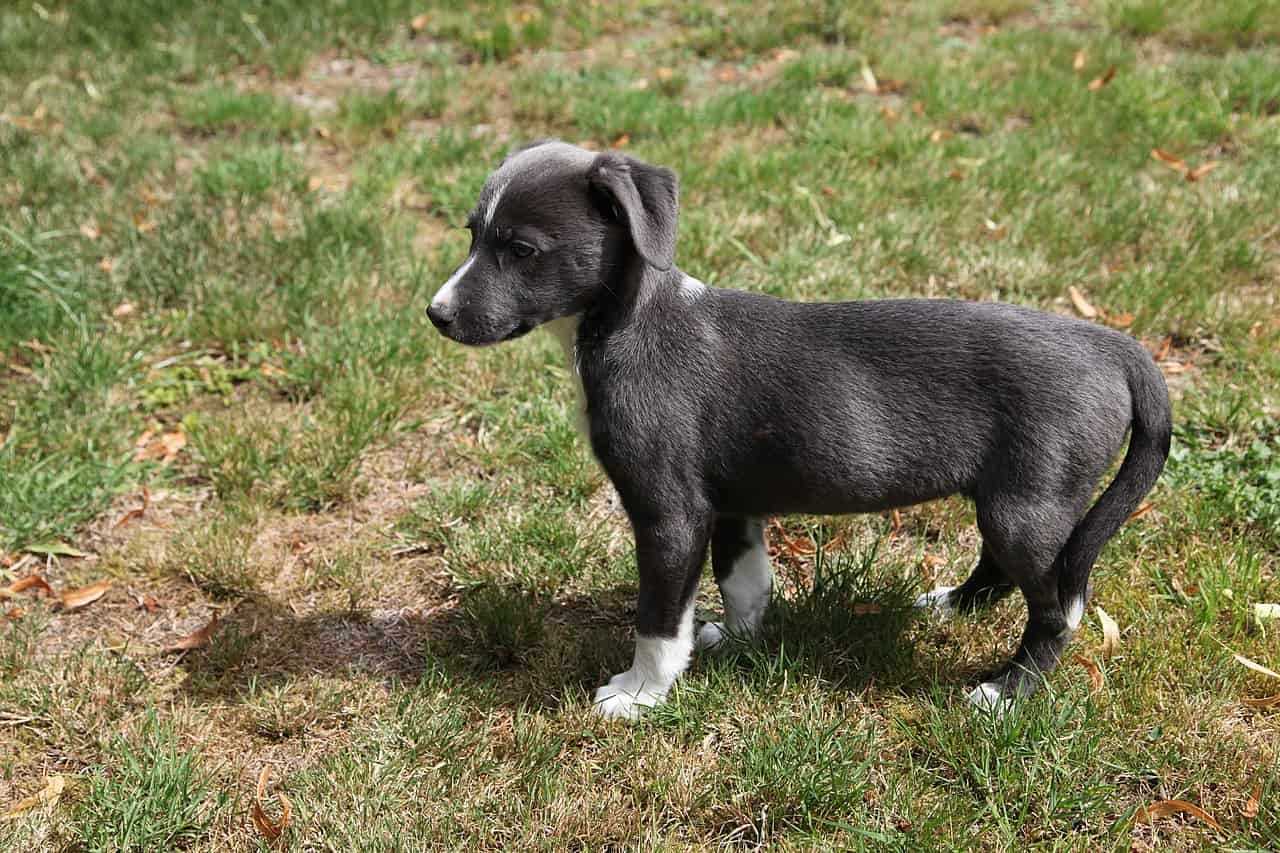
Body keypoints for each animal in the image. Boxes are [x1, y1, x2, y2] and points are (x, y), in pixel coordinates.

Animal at [427, 139, 1172, 717]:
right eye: (471, 235)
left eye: (521, 249)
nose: (436, 314)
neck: (628, 321)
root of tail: (1114, 346)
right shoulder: (729, 500)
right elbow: (744, 579)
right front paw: (737, 641)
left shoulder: (669, 511)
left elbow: (659, 618)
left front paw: (640, 692)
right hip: (1008, 494)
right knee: (1006, 570)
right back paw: (950, 607)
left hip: (1028, 501)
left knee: (1057, 606)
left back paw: (1007, 692)